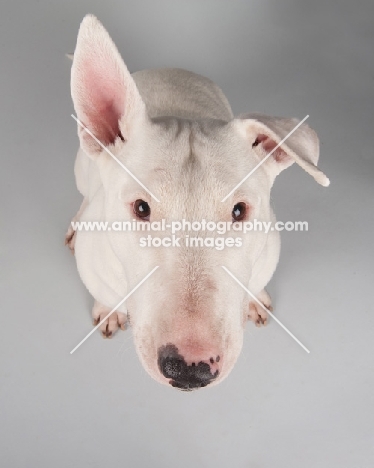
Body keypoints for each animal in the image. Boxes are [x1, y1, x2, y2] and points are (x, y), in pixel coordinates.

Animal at [65, 14, 328, 390]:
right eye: (141, 208)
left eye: (239, 211)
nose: (190, 368)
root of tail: (168, 67)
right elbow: (105, 293)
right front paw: (110, 311)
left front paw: (254, 300)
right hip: (81, 169)